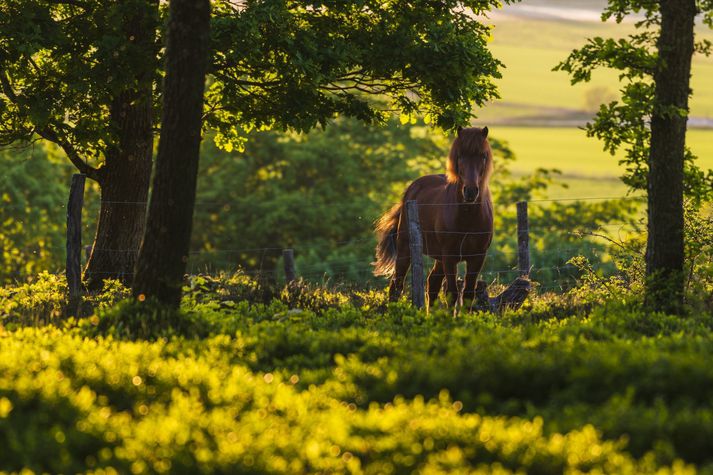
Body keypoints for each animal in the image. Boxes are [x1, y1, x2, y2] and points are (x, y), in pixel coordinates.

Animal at [372, 127, 496, 312]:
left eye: (483, 156)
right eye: (460, 155)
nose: (470, 192)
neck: (468, 217)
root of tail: (411, 189)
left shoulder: (477, 256)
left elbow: (467, 294)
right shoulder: (450, 256)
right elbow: (452, 293)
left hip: (439, 257)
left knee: (433, 282)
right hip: (405, 248)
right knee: (397, 285)